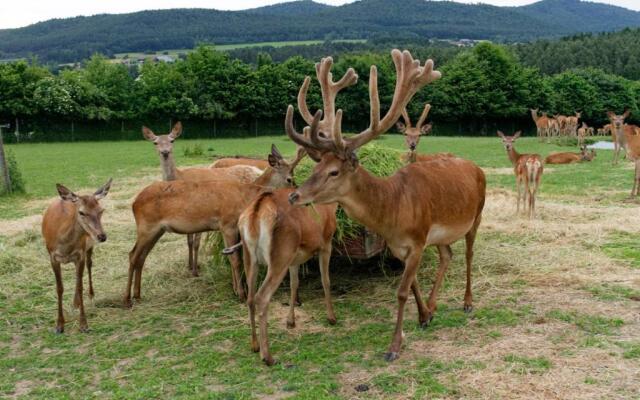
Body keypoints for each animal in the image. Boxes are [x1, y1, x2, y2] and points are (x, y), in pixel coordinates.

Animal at [42, 180, 112, 332]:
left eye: (101, 210)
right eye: (81, 212)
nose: (102, 236)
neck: (64, 245)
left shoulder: (80, 254)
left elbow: (80, 287)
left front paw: (83, 324)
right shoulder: (52, 257)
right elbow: (59, 288)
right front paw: (59, 326)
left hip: (88, 247)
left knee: (89, 266)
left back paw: (90, 294)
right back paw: (75, 303)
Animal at [127, 146, 304, 306]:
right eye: (289, 178)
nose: (295, 195)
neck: (246, 197)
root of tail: (134, 203)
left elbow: (234, 256)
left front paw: (236, 290)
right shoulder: (228, 224)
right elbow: (235, 260)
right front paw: (241, 294)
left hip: (157, 230)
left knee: (142, 256)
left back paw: (137, 295)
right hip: (146, 227)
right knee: (133, 254)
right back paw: (127, 300)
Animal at [142, 123, 262, 276]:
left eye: (172, 140)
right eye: (155, 142)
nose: (165, 152)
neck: (180, 177)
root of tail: (259, 171)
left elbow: (196, 243)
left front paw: (195, 270)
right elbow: (189, 241)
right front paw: (189, 266)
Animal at [284, 48, 484, 360]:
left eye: (334, 172)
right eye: (316, 167)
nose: (294, 196)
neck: (393, 211)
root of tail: (475, 167)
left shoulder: (417, 240)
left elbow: (401, 291)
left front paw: (394, 347)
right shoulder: (402, 245)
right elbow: (411, 283)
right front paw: (424, 315)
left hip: (477, 215)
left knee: (468, 255)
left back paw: (467, 302)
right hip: (441, 234)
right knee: (447, 255)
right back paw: (434, 305)